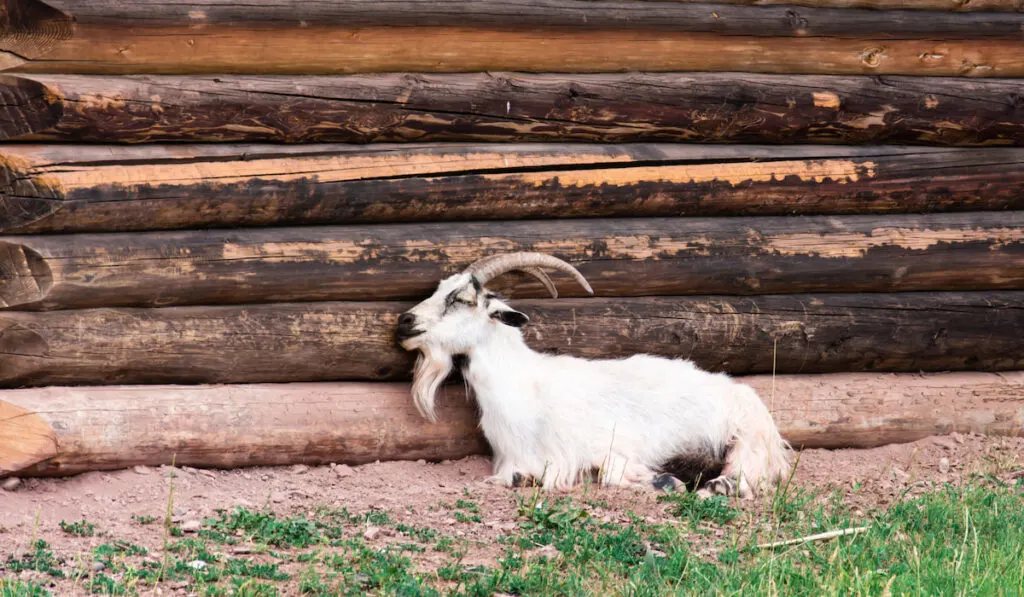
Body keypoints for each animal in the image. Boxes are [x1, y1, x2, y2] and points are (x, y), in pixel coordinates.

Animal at [395, 253, 786, 499]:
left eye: (461, 299)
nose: (404, 322)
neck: (523, 386)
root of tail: (745, 396)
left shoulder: (608, 444)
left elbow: (610, 472)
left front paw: (663, 480)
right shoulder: (517, 462)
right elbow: (520, 477)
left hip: (744, 436)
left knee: (746, 474)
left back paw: (714, 485)